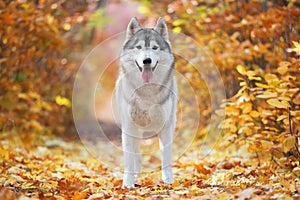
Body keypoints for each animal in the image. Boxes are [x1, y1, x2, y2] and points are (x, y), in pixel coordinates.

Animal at [114, 16, 176, 188]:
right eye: (139, 47)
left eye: (154, 48)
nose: (146, 60)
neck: (147, 92)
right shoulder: (129, 128)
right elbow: (129, 160)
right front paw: (128, 183)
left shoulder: (167, 127)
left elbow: (166, 157)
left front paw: (168, 180)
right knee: (137, 156)